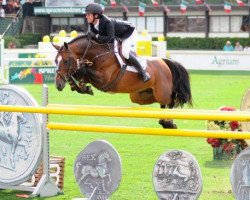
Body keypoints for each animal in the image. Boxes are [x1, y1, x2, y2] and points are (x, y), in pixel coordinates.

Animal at [53, 34, 191, 128]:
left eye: (65, 60)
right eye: (55, 60)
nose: (58, 85)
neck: (97, 54)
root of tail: (164, 61)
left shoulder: (104, 79)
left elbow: (84, 71)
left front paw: (83, 85)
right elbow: (80, 76)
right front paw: (82, 87)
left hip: (162, 92)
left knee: (170, 101)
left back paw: (169, 123)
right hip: (140, 96)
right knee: (161, 104)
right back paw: (165, 121)